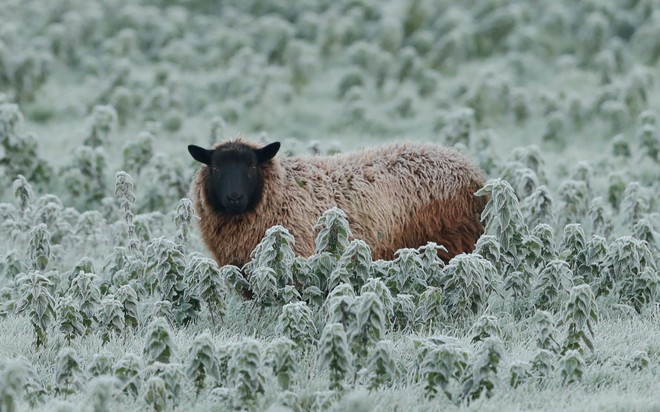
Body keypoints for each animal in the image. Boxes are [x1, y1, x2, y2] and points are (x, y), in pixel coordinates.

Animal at [188, 139, 488, 270]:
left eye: (251, 165)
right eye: (215, 167)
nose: (234, 198)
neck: (281, 191)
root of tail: (470, 170)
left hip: (452, 243)